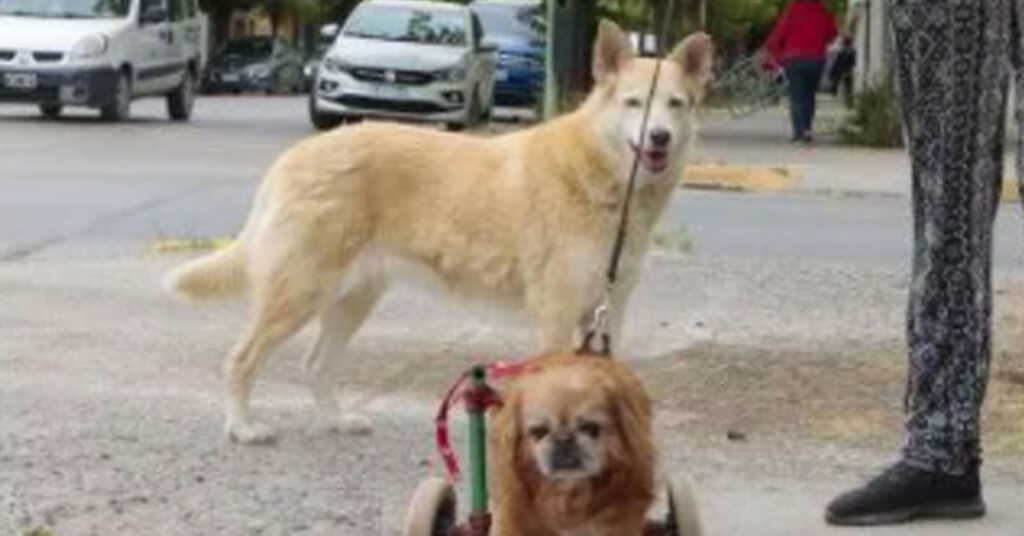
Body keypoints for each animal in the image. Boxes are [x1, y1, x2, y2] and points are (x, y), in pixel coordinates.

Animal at [165, 18, 712, 442]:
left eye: (676, 104)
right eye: (634, 103)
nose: (660, 138)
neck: (605, 180)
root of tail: (296, 154)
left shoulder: (608, 313)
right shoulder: (557, 314)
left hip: (351, 301)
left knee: (315, 365)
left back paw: (337, 421)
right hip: (299, 294)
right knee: (241, 360)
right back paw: (242, 428)